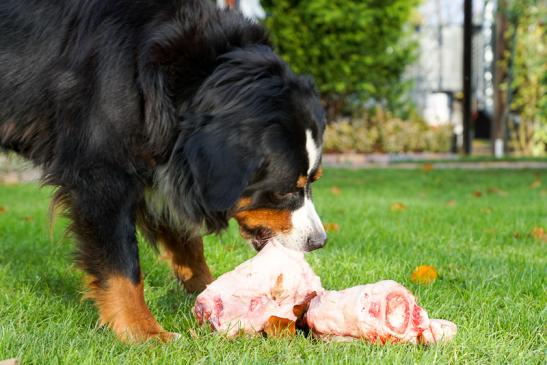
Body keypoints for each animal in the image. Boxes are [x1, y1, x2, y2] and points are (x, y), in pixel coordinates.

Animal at [0, 0, 326, 342]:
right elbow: (123, 264)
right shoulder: (102, 171)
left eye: (313, 181)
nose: (319, 241)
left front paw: (208, 290)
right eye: (284, 191)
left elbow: (188, 244)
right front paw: (145, 332)